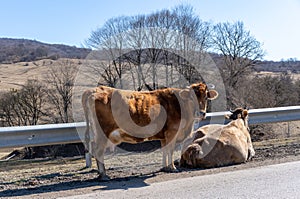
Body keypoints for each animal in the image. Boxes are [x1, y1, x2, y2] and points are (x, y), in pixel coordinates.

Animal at [82, 81, 218, 180]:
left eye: (206, 97)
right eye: (191, 98)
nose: (201, 113)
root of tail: (95, 90)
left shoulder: (164, 136)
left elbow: (164, 150)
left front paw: (165, 167)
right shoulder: (172, 133)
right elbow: (170, 150)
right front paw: (173, 167)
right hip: (102, 133)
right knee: (98, 150)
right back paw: (103, 175)